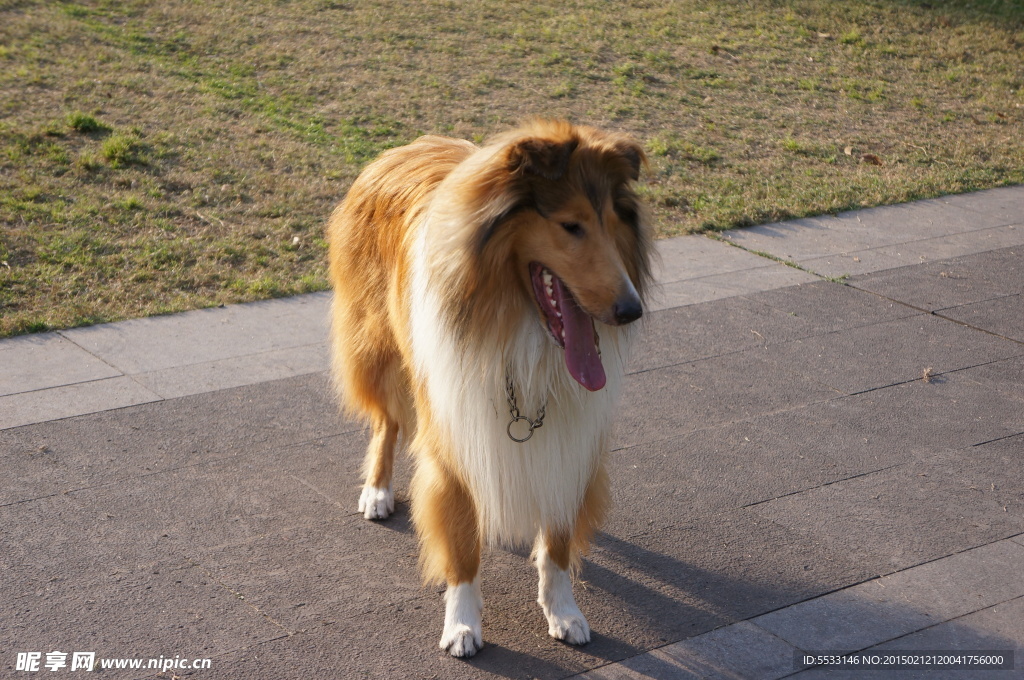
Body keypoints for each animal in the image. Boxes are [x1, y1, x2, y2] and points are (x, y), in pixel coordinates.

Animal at [323, 119, 651, 655]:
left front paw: (563, 611)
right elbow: (460, 546)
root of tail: (403, 147)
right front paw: (461, 625)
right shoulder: (453, 432)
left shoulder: (568, 439)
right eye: (571, 225)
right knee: (387, 420)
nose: (630, 310)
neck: (517, 328)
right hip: (378, 348)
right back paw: (377, 490)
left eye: (611, 221)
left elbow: (558, 542)